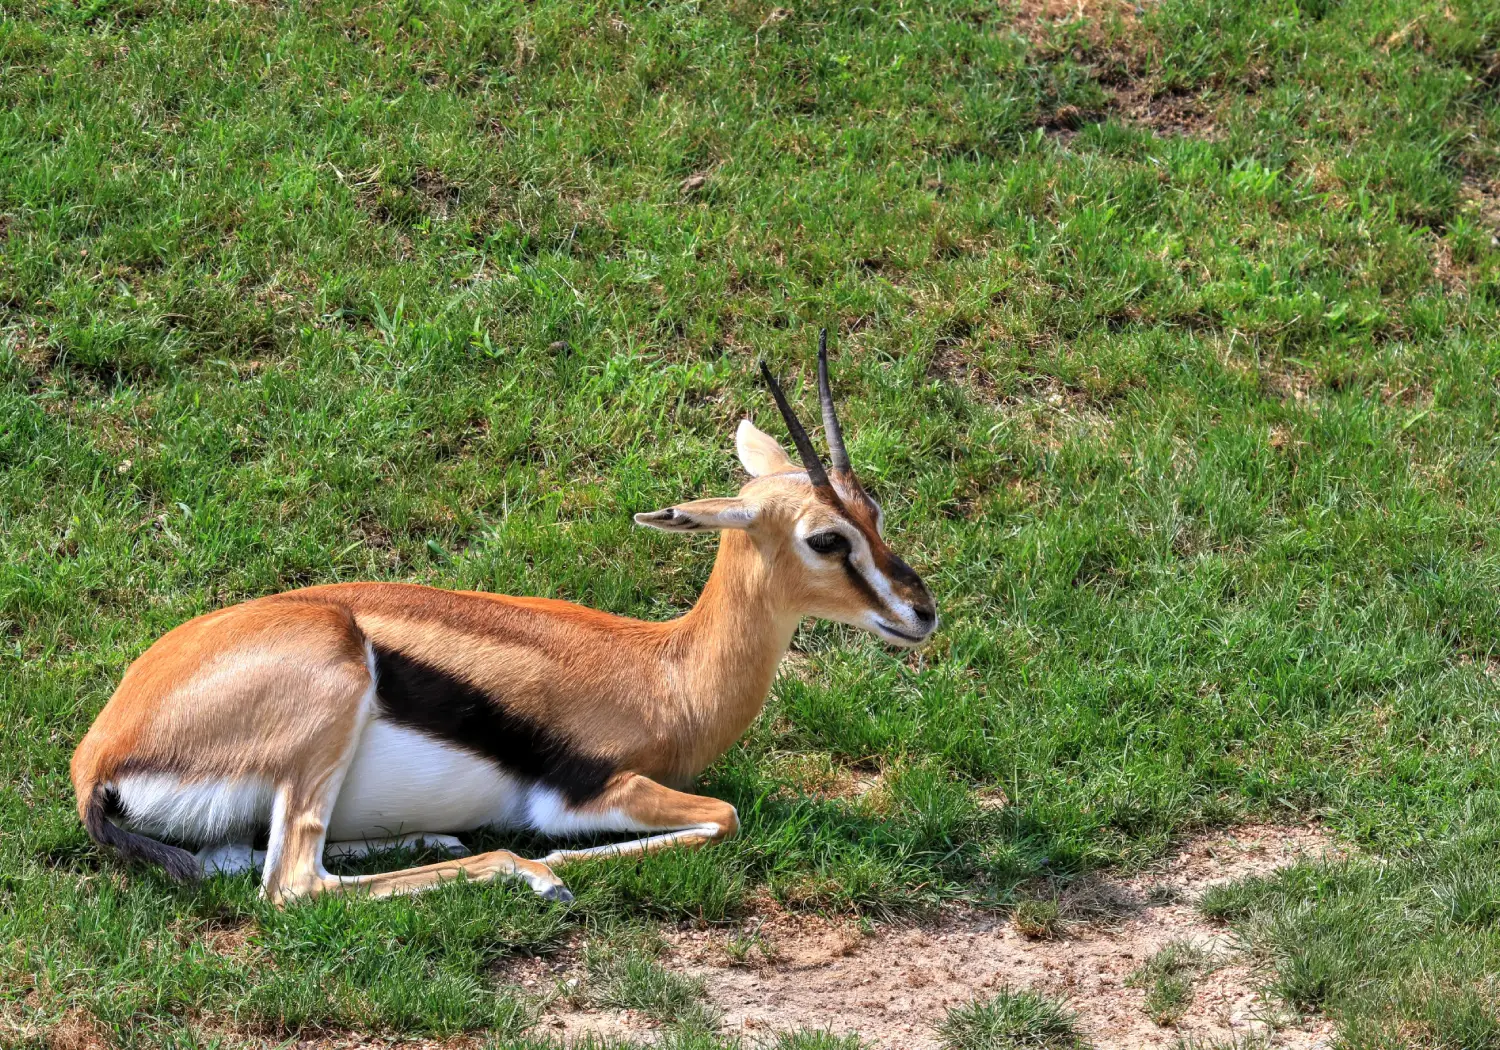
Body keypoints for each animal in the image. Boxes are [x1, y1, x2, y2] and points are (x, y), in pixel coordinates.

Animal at [70, 335, 938, 905]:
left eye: (875, 510)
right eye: (827, 539)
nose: (920, 613)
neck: (667, 673)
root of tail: (100, 754)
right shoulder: (590, 792)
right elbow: (722, 818)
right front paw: (551, 867)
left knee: (244, 860)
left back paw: (436, 836)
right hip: (332, 691)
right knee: (291, 884)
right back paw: (514, 870)